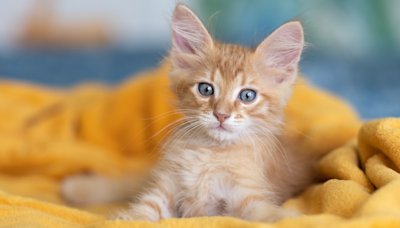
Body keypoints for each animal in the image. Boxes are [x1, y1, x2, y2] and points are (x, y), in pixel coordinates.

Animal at [62, 4, 314, 223]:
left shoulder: (245, 200)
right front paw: (122, 220)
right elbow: (141, 211)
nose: (221, 115)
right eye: (206, 89)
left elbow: (271, 215)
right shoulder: (165, 188)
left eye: (247, 95)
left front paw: (296, 219)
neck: (210, 153)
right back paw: (76, 188)